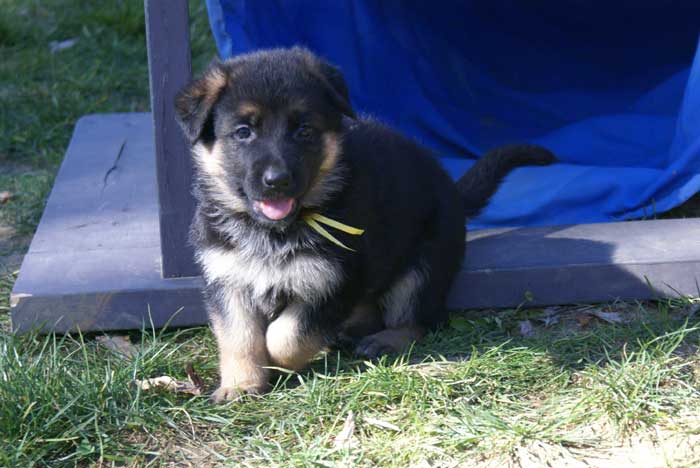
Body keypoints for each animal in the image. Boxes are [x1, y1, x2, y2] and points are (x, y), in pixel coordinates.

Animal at [174, 47, 552, 402]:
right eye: (243, 132)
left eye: (304, 130)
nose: (277, 181)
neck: (275, 231)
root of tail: (453, 192)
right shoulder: (228, 279)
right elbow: (239, 337)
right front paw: (241, 384)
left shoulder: (336, 281)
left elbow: (286, 335)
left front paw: (276, 364)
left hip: (423, 267)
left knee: (420, 319)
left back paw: (385, 339)